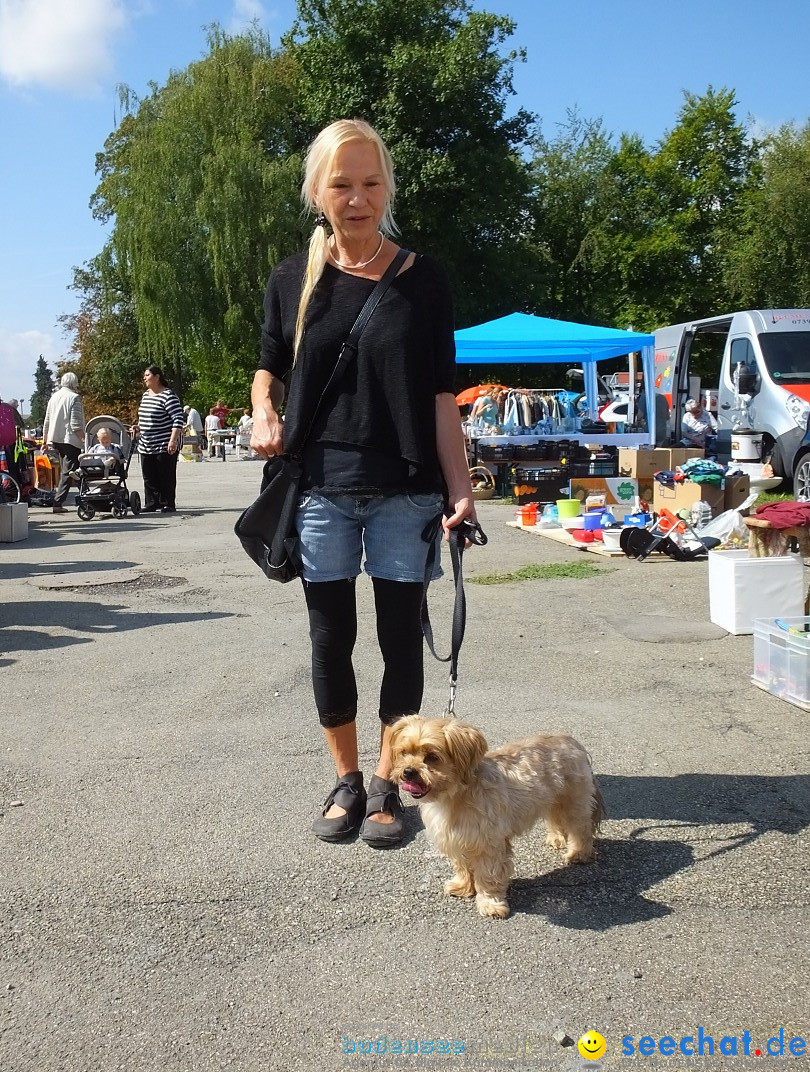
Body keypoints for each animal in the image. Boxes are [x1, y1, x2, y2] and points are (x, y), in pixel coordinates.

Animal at [390, 716, 604, 917]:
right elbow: (462, 867)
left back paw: (579, 854)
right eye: (404, 753)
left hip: (573, 804)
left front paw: (490, 904)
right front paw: (463, 886)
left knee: (581, 830)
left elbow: (487, 876)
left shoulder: (488, 844)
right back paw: (556, 838)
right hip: (552, 800)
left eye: (432, 757)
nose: (408, 771)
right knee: (555, 820)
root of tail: (571, 741)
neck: (455, 796)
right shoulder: (456, 839)